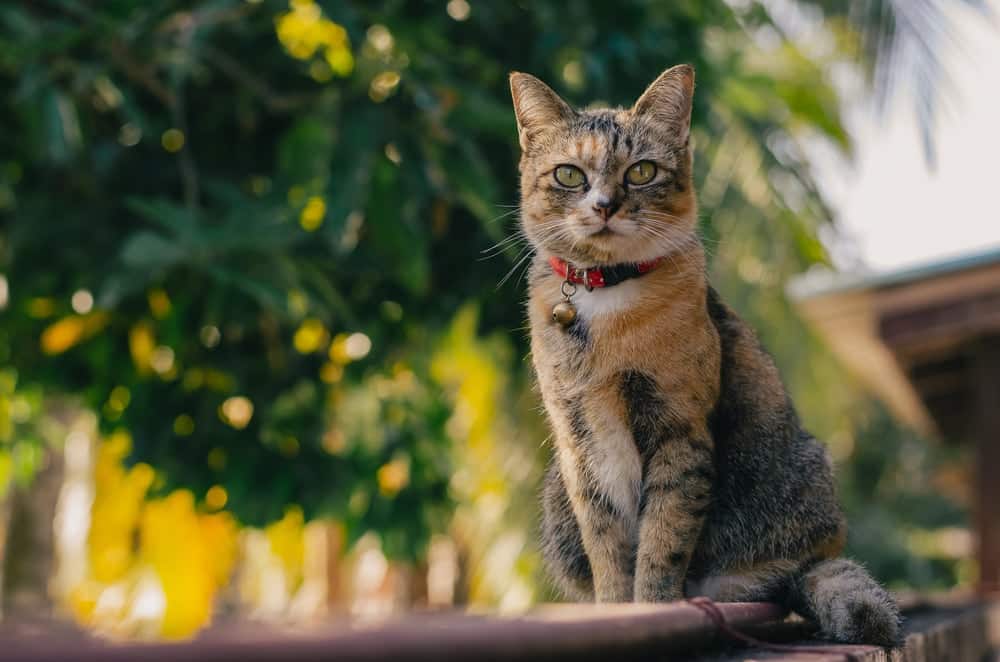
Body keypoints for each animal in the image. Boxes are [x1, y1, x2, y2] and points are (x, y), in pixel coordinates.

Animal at [512, 63, 904, 648]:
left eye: (642, 171)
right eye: (569, 176)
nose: (604, 206)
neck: (606, 301)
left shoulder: (680, 430)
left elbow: (662, 539)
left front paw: (652, 608)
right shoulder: (582, 442)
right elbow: (607, 544)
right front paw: (615, 609)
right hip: (558, 493)